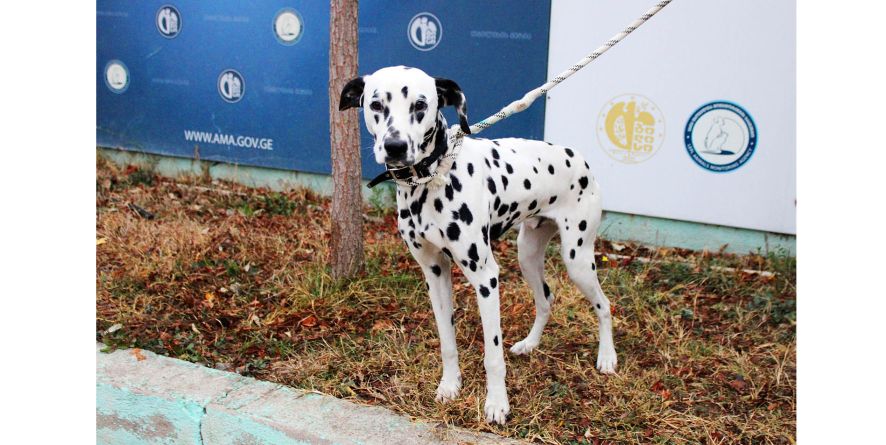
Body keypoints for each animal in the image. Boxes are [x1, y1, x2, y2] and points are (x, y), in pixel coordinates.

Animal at [340, 65, 616, 424]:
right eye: (375, 105)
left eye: (420, 105)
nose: (395, 146)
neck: (433, 178)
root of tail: (578, 156)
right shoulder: (434, 273)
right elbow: (447, 341)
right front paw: (450, 386)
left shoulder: (486, 279)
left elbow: (492, 354)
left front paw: (497, 404)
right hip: (528, 255)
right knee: (546, 299)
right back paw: (530, 344)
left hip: (577, 259)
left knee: (604, 305)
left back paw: (607, 357)